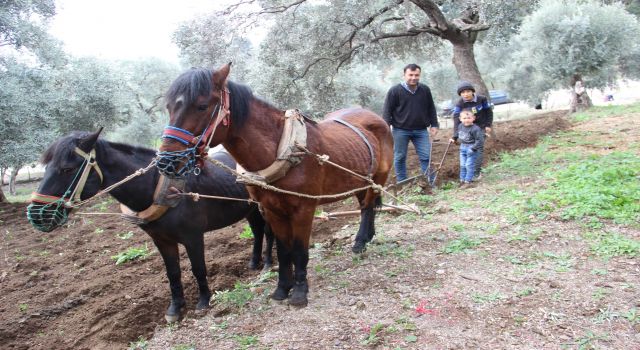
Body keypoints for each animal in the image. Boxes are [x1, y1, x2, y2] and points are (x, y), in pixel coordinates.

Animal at [158, 63, 392, 306]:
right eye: (169, 107)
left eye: (202, 106)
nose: (166, 162)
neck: (280, 150)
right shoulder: (272, 210)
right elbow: (283, 251)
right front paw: (282, 288)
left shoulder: (303, 209)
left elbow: (299, 250)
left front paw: (299, 292)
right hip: (359, 180)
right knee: (366, 206)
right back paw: (368, 237)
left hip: (378, 178)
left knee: (367, 207)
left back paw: (360, 242)